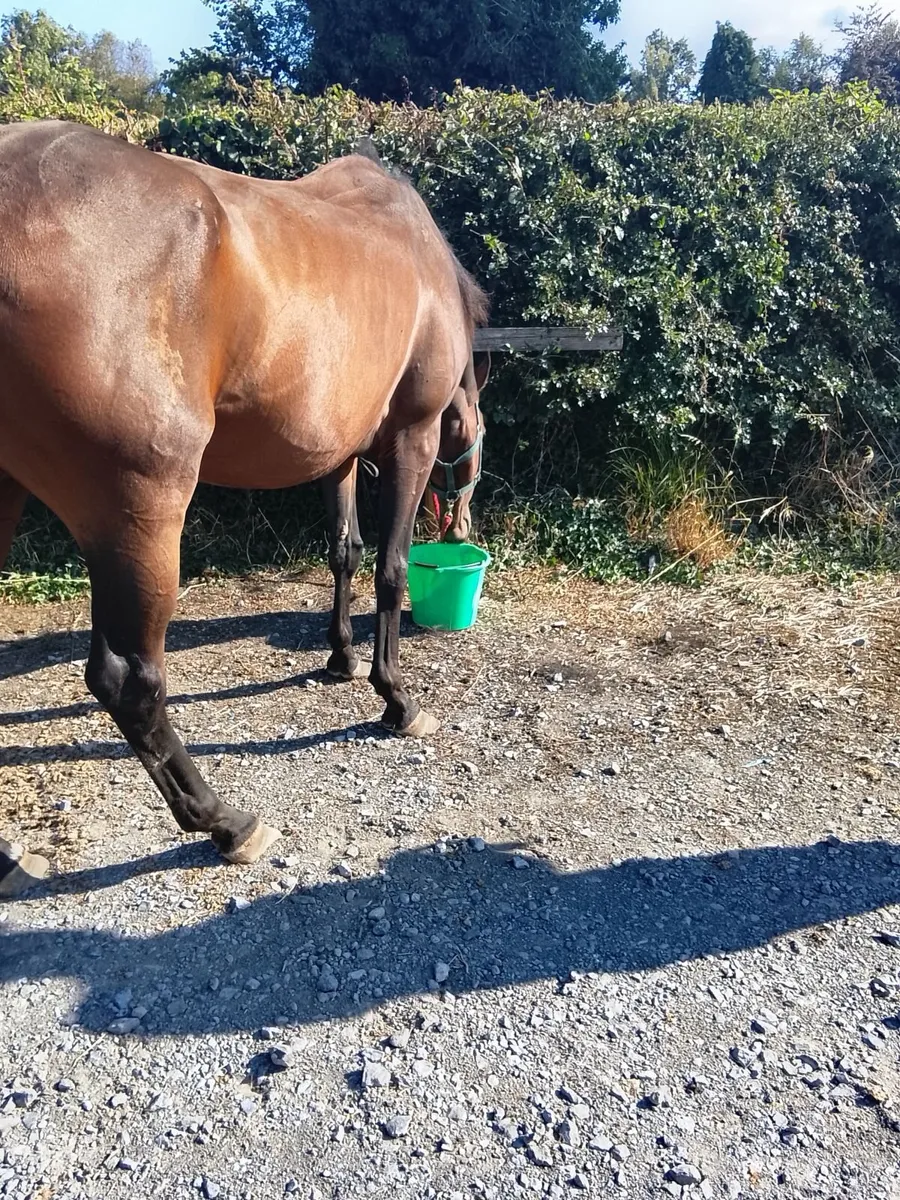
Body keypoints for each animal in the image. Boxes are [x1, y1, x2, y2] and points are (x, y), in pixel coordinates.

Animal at [0, 120, 489, 868]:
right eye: (479, 440)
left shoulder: (338, 456)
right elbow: (390, 568)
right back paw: (224, 821)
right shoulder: (413, 437)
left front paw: (342, 659)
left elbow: (344, 553)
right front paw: (395, 697)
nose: (461, 528)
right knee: (129, 682)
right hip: (140, 514)